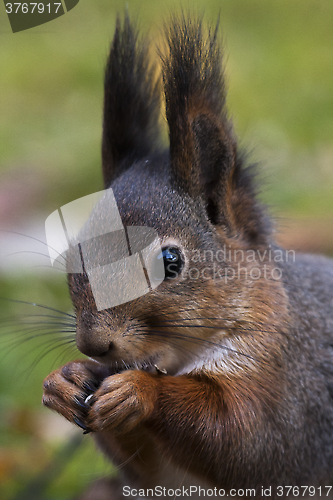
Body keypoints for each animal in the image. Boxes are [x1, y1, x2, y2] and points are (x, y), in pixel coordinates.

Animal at [42, 13, 333, 498]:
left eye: (171, 262)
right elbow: (144, 469)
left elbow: (241, 436)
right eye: (70, 255)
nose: (94, 345)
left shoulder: (289, 385)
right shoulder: (151, 474)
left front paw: (140, 391)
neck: (179, 359)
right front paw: (64, 381)